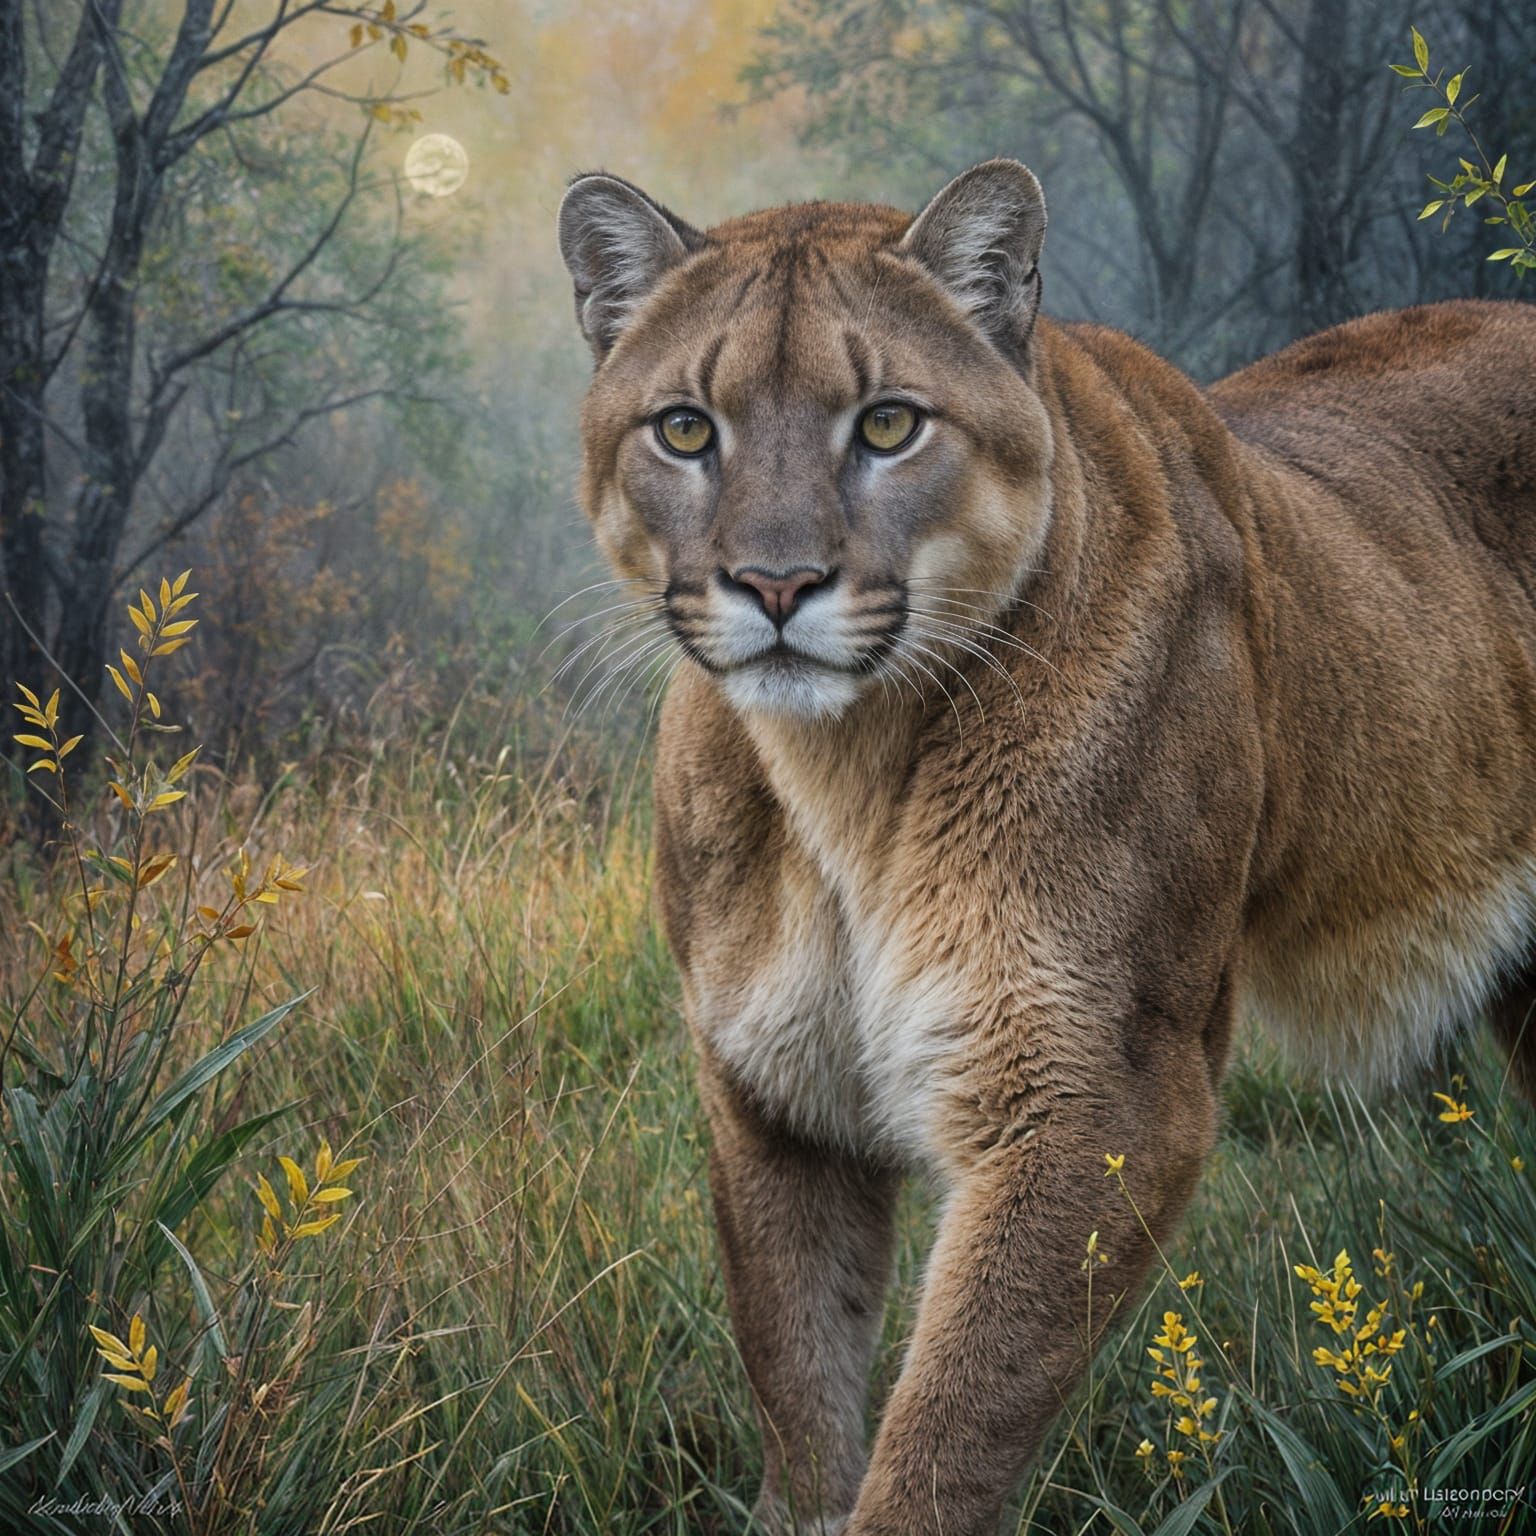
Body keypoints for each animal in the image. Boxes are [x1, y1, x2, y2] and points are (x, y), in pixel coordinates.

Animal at [556, 159, 1536, 1535]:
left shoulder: (1100, 1092)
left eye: (889, 425)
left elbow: (949, 1430)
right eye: (687, 430)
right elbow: (800, 1386)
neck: (845, 776)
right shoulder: (775, 1094)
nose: (777, 584)